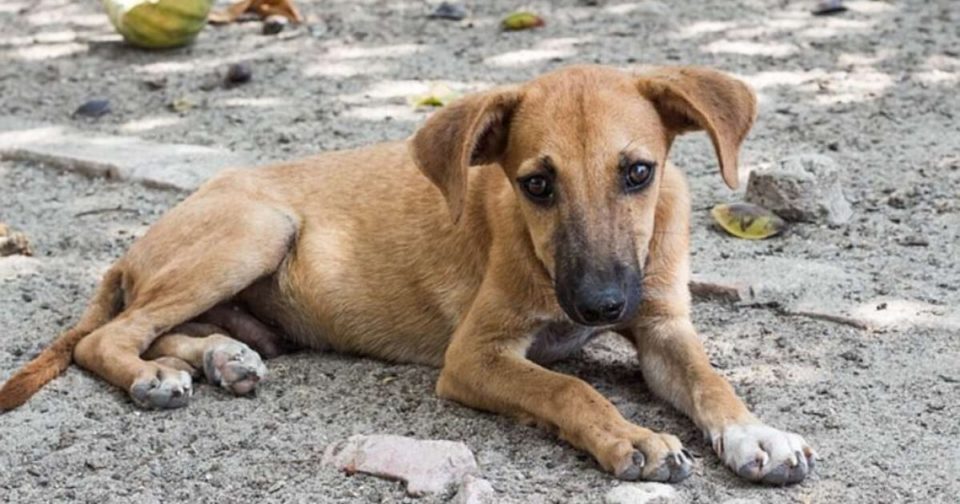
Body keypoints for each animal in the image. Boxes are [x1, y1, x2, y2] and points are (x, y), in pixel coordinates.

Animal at [0, 66, 816, 484]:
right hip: (256, 228)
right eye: (536, 185)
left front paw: (757, 435)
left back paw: (222, 358)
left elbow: (712, 381)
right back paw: (153, 376)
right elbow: (567, 388)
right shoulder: (475, 356)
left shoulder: (663, 327)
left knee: (171, 330)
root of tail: (133, 246)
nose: (600, 304)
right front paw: (633, 438)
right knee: (107, 337)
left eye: (639, 172)